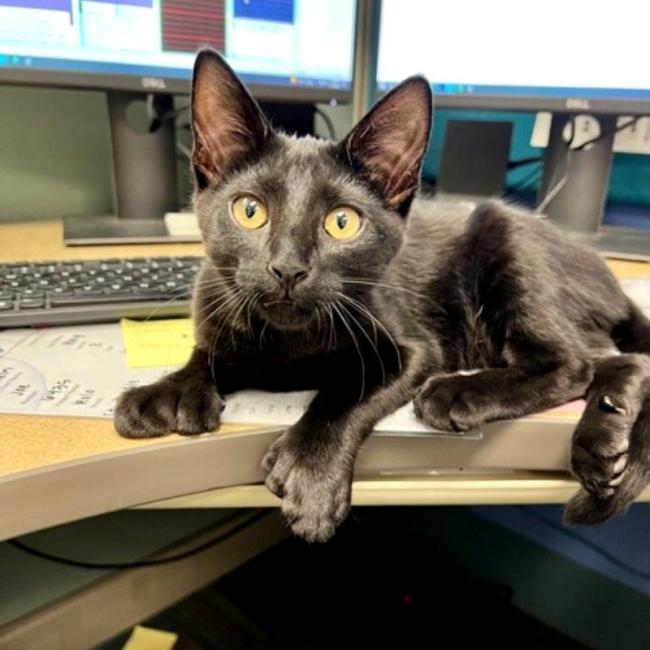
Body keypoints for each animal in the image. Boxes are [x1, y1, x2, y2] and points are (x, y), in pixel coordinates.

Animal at [114, 49, 648, 536]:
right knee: (618, 360)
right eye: (249, 211)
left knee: (575, 362)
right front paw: (167, 392)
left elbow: (348, 389)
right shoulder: (219, 311)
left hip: (512, 249)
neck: (290, 346)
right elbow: (207, 353)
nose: (288, 268)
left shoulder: (415, 347)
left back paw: (463, 393)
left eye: (342, 223)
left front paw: (311, 472)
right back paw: (603, 439)